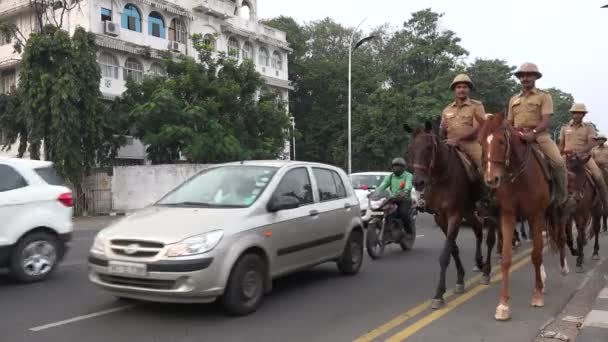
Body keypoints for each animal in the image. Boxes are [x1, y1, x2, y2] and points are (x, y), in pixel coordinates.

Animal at [406, 122, 496, 310]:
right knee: (478, 230)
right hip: (469, 210)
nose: (418, 182)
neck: (441, 177)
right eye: (410, 149)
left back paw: (486, 271)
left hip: (489, 206)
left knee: (490, 238)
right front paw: (460, 279)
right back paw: (479, 261)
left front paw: (439, 293)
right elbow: (453, 249)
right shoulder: (440, 217)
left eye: (429, 147)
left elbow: (445, 255)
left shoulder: (454, 215)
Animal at [478, 114, 568, 320]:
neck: (519, 177)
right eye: (480, 142)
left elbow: (536, 255)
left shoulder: (536, 215)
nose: (491, 179)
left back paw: (563, 268)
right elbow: (506, 259)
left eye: (501, 142)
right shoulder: (508, 216)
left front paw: (537, 296)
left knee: (559, 238)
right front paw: (503, 305)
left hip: (556, 211)